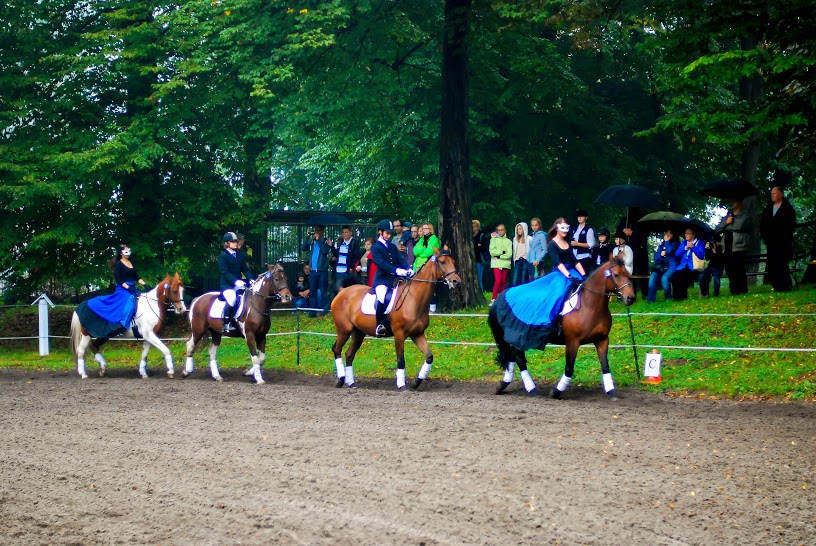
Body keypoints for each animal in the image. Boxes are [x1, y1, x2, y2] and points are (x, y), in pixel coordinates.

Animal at [330, 252, 462, 390]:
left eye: (453, 262)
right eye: (442, 262)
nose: (456, 281)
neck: (413, 298)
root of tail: (343, 291)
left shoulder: (417, 334)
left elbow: (429, 357)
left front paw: (416, 382)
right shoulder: (399, 334)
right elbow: (401, 359)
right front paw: (401, 385)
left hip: (358, 333)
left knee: (349, 354)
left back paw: (351, 383)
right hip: (344, 330)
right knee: (337, 350)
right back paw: (340, 380)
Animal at [489, 258, 636, 399]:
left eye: (628, 274)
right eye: (616, 275)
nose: (630, 298)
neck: (590, 306)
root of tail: (501, 296)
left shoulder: (602, 340)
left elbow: (605, 366)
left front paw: (611, 392)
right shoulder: (573, 341)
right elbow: (569, 368)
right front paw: (556, 392)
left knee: (513, 356)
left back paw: (506, 384)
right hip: (516, 335)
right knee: (518, 357)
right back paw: (531, 389)